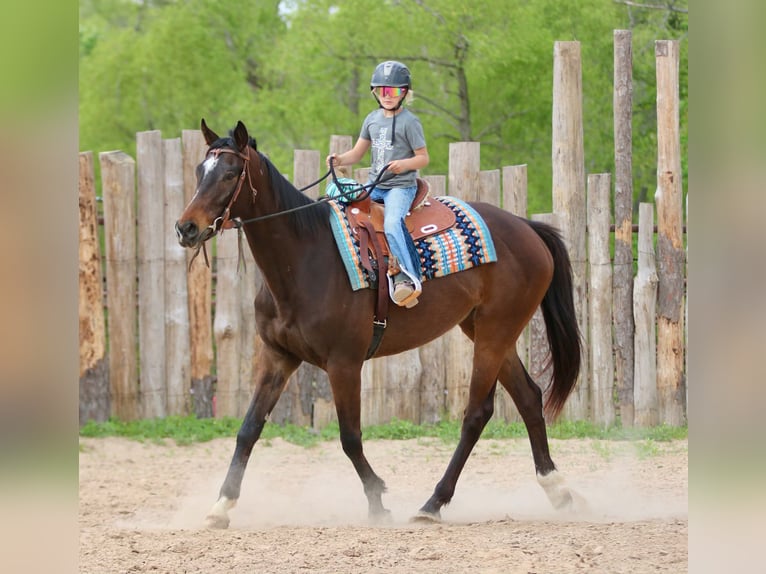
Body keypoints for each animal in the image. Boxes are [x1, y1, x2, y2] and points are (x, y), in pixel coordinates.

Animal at [175, 119, 584, 528]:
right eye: (198, 171)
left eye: (230, 173)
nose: (186, 228)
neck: (305, 258)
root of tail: (526, 228)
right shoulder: (278, 357)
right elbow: (248, 429)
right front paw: (221, 505)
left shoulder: (344, 363)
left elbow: (349, 437)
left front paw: (377, 500)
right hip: (489, 331)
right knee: (528, 397)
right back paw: (558, 491)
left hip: (494, 335)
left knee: (476, 414)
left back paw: (433, 503)